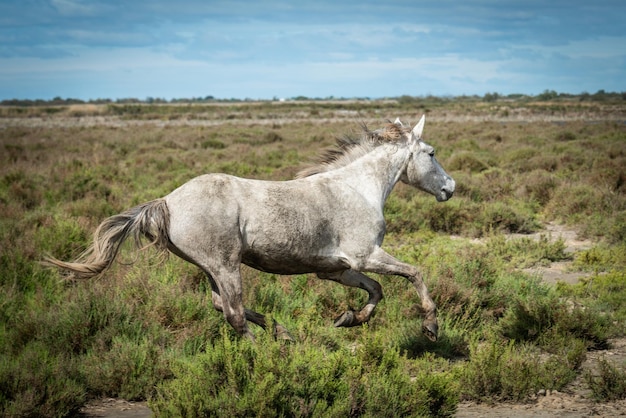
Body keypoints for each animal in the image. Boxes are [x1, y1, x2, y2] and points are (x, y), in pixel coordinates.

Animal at [45, 116, 454, 342]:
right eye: (431, 153)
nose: (450, 188)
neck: (357, 188)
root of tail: (168, 201)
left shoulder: (335, 270)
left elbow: (377, 290)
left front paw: (349, 319)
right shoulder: (365, 256)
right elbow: (414, 273)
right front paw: (431, 327)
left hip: (209, 268)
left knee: (221, 305)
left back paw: (282, 332)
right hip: (226, 265)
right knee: (234, 314)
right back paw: (266, 352)